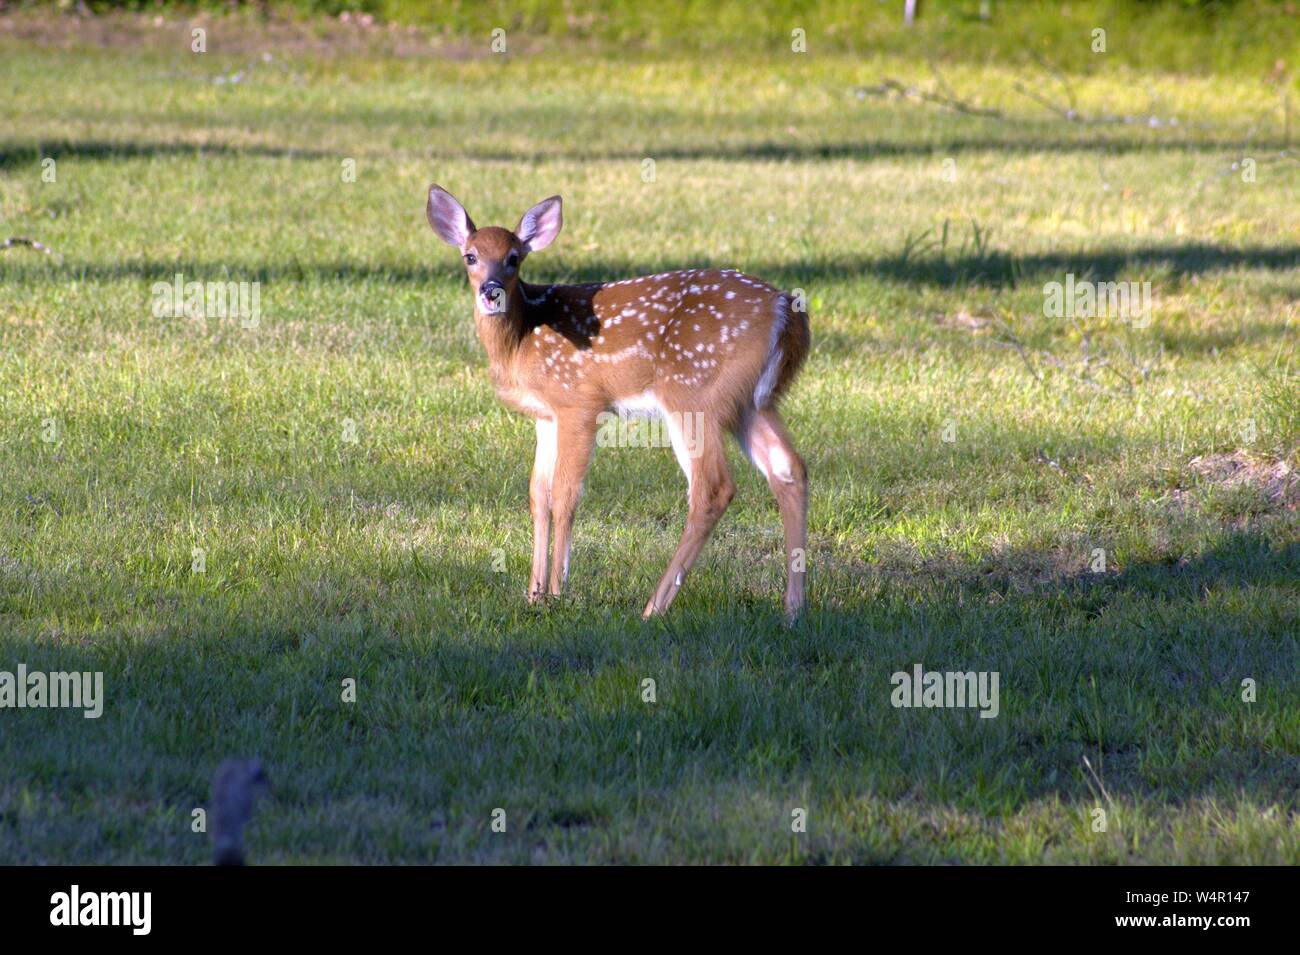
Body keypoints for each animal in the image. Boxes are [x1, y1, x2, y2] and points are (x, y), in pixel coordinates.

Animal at [426, 185, 806, 621]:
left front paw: (556, 592)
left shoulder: (579, 401)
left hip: (693, 392)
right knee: (789, 468)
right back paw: (794, 609)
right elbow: (538, 493)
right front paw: (533, 594)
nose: (491, 291)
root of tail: (788, 310)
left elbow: (566, 492)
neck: (522, 339)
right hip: (750, 402)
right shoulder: (546, 416)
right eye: (470, 256)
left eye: (514, 258)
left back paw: (653, 608)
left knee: (713, 487)